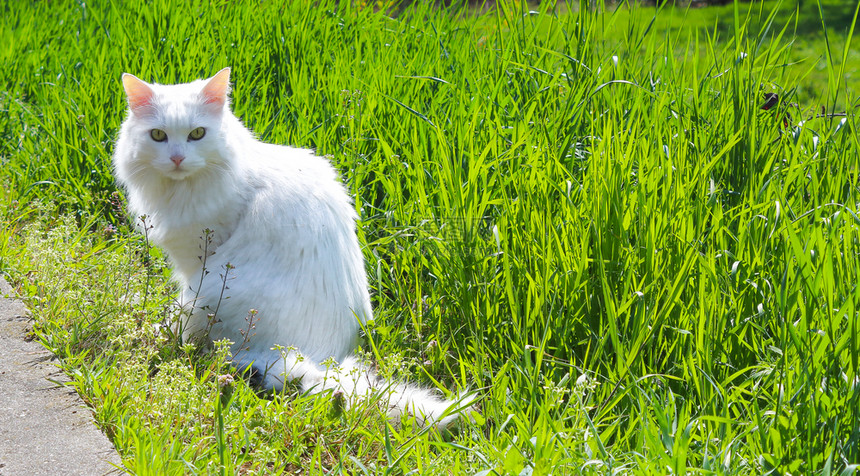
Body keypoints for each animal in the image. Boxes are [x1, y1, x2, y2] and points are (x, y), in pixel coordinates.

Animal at [113, 69, 470, 430]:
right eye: (158, 135)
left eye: (197, 134)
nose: (176, 158)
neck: (181, 190)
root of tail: (318, 359)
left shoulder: (197, 257)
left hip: (206, 292)